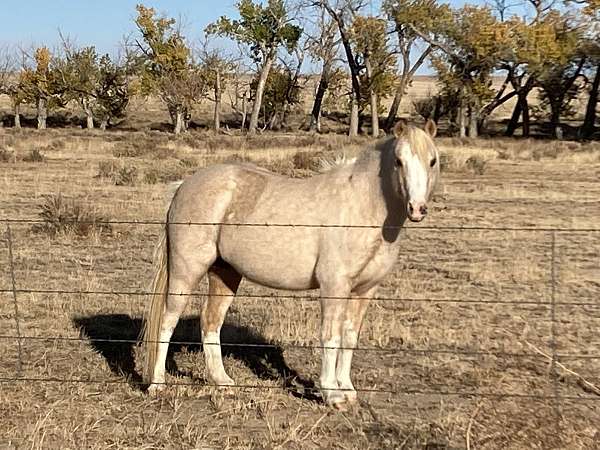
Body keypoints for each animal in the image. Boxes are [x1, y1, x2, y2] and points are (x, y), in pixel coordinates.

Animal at [142, 118, 440, 408]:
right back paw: (157, 385)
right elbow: (330, 336)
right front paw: (332, 394)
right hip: (186, 272)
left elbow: (350, 337)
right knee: (168, 320)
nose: (417, 208)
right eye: (399, 161)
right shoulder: (334, 287)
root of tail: (184, 185)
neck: (362, 209)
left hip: (224, 274)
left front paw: (348, 390)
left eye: (433, 160)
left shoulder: (365, 290)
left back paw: (223, 383)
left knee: (210, 322)